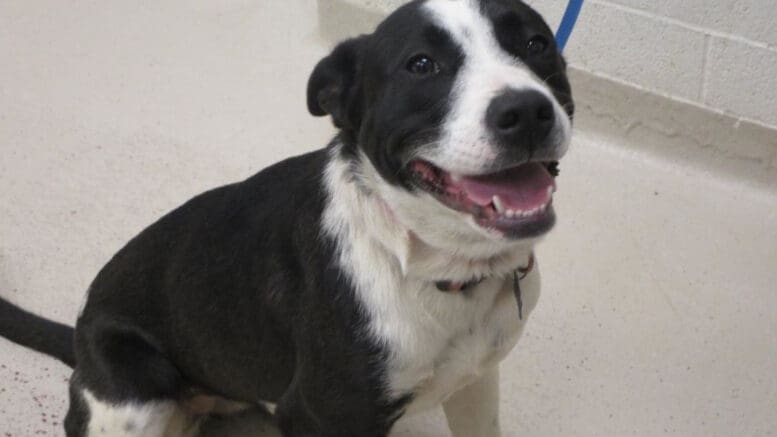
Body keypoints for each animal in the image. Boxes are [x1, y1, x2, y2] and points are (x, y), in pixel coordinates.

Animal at [0, 1, 568, 434]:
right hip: (137, 406)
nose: (526, 111)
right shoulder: (315, 415)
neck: (433, 266)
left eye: (537, 44)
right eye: (422, 64)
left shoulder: (476, 380)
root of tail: (79, 339)